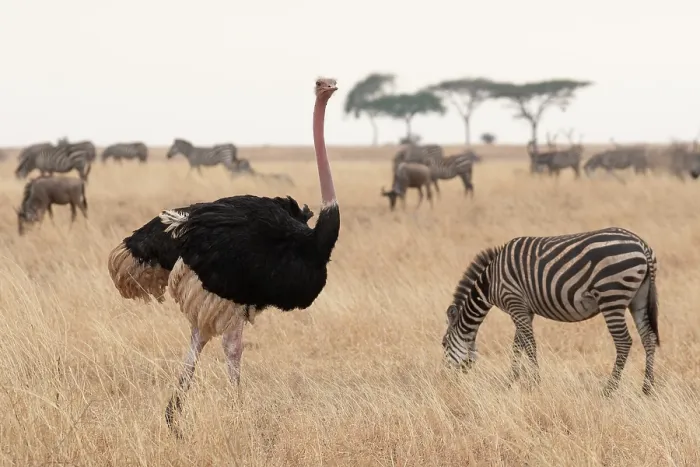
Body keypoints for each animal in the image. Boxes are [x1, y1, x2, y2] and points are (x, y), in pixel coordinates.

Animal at [441, 227, 660, 396]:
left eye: (443, 344)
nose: (444, 379)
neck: (490, 282)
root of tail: (641, 244)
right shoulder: (524, 309)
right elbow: (517, 345)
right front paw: (510, 381)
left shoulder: (514, 302)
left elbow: (529, 345)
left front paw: (535, 383)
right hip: (638, 299)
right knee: (648, 338)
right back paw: (647, 389)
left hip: (611, 296)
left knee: (624, 342)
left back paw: (608, 390)